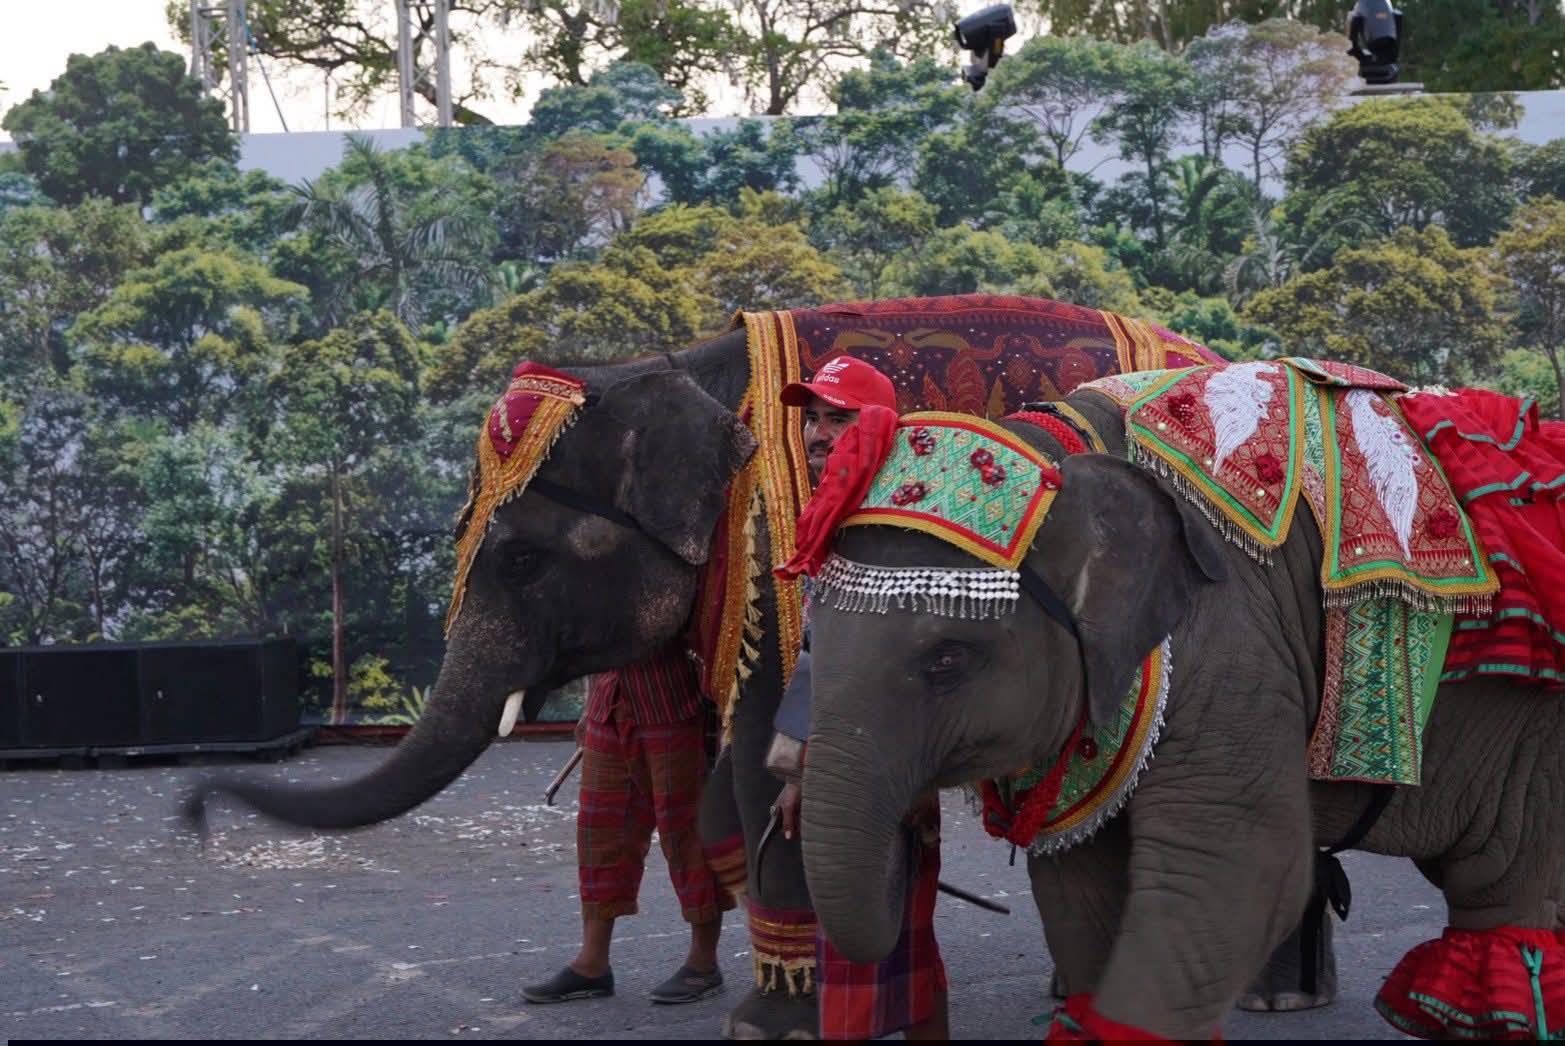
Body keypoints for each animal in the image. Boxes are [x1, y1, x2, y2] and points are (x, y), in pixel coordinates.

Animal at [797, 386, 1565, 1039]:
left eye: (947, 660)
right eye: (809, 639)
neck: (1067, 452)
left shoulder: (1228, 641)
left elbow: (1231, 865)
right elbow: (1081, 883)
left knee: (1499, 889)